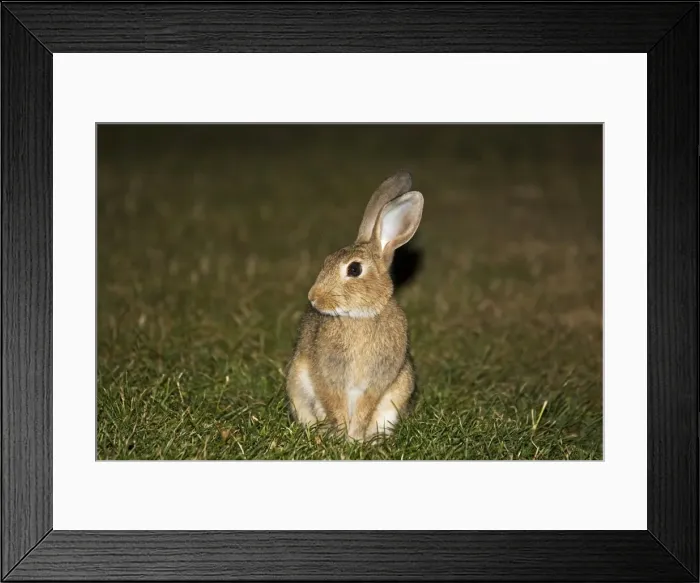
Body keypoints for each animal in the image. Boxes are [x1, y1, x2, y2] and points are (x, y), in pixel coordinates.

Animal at [285, 171, 424, 442]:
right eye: (327, 261)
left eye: (354, 269)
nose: (313, 297)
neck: (360, 316)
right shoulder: (327, 376)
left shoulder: (376, 382)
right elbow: (334, 404)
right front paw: (343, 438)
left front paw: (355, 438)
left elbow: (364, 409)